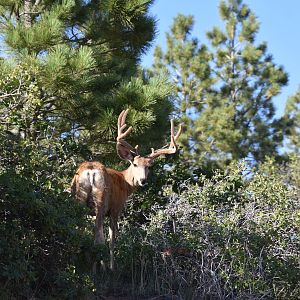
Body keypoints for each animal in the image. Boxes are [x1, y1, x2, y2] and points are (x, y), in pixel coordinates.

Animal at [71, 109, 182, 270]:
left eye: (149, 166)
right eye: (135, 164)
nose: (143, 180)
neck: (124, 182)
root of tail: (91, 171)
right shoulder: (116, 208)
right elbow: (112, 239)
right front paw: (110, 267)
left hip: (79, 198)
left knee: (80, 229)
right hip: (102, 200)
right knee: (98, 235)